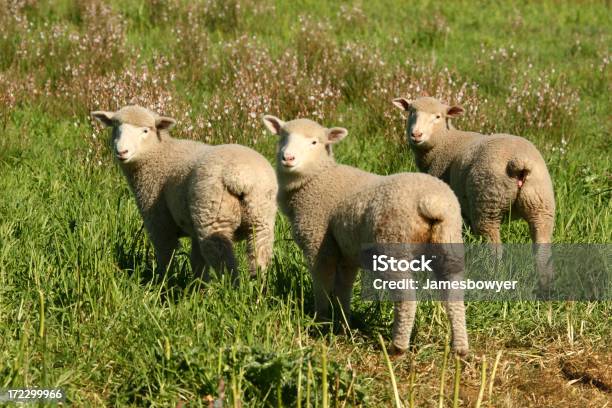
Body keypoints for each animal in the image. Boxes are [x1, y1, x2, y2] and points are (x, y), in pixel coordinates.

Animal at [91, 105, 278, 280]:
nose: (122, 151)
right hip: (260, 218)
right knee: (259, 258)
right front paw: (198, 287)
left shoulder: (159, 222)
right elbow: (197, 263)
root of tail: (240, 176)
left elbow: (166, 256)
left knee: (225, 264)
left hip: (214, 218)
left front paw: (164, 282)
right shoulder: (194, 229)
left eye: (145, 130)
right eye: (116, 128)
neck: (159, 154)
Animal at [262, 114, 468, 354]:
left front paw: (321, 321)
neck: (316, 179)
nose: (288, 157)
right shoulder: (347, 254)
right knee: (454, 295)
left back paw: (398, 347)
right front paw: (343, 323)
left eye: (314, 142)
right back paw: (460, 348)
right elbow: (344, 288)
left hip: (393, 244)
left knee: (406, 298)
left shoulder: (318, 243)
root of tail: (432, 201)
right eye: (282, 137)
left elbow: (322, 283)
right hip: (448, 240)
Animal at [392, 95, 556, 286]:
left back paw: (494, 276)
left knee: (494, 248)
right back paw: (545, 283)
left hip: (487, 202)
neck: (444, 142)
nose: (416, 134)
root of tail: (520, 161)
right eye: (411, 112)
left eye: (438, 116)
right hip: (541, 203)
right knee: (542, 247)